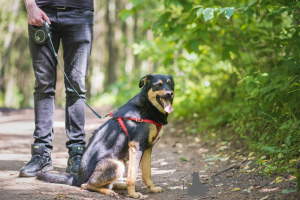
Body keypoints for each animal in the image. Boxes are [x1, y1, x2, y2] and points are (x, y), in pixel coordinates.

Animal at [36, 74, 175, 198]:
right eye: (158, 85)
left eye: (171, 84)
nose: (170, 94)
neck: (148, 106)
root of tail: (77, 179)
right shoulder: (136, 145)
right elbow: (133, 176)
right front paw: (133, 194)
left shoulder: (147, 148)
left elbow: (147, 174)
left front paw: (152, 189)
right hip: (116, 164)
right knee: (86, 185)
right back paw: (109, 191)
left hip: (122, 162)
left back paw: (120, 185)